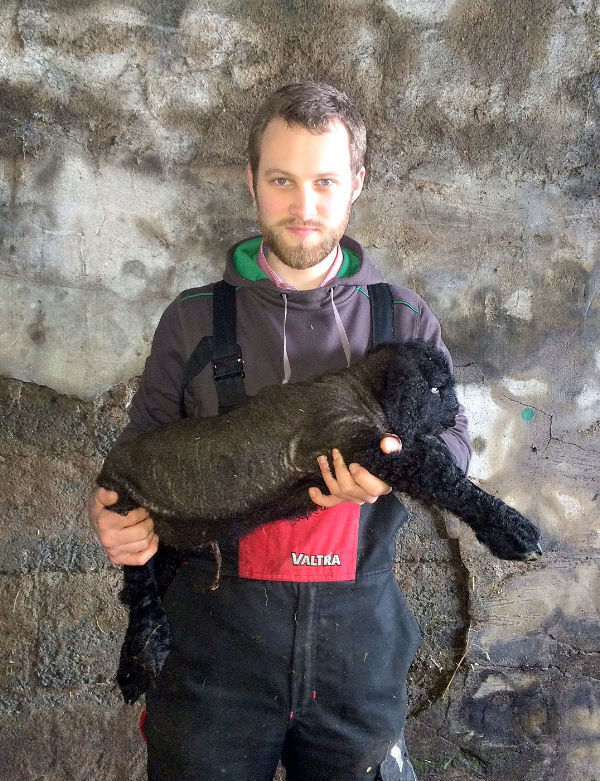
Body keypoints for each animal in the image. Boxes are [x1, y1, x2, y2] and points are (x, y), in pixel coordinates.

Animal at [97, 339, 542, 703]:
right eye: (436, 388)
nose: (456, 414)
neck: (363, 392)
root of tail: (108, 469)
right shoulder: (356, 444)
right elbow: (440, 475)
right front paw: (513, 532)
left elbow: (433, 458)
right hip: (126, 508)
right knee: (140, 583)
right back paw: (141, 660)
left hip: (173, 534)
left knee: (150, 575)